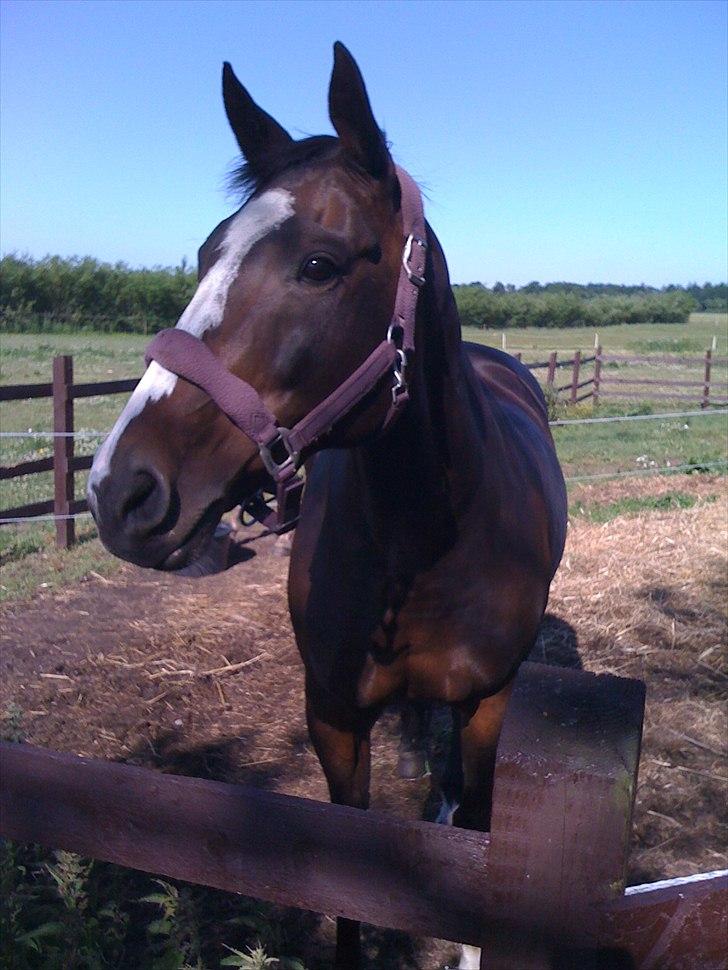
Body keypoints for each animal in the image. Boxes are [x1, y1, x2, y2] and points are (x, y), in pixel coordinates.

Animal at [88, 41, 568, 964]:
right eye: (204, 254)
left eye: (319, 264)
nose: (118, 489)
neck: (431, 539)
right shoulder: (335, 719)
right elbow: (349, 885)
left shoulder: (491, 703)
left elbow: (483, 822)